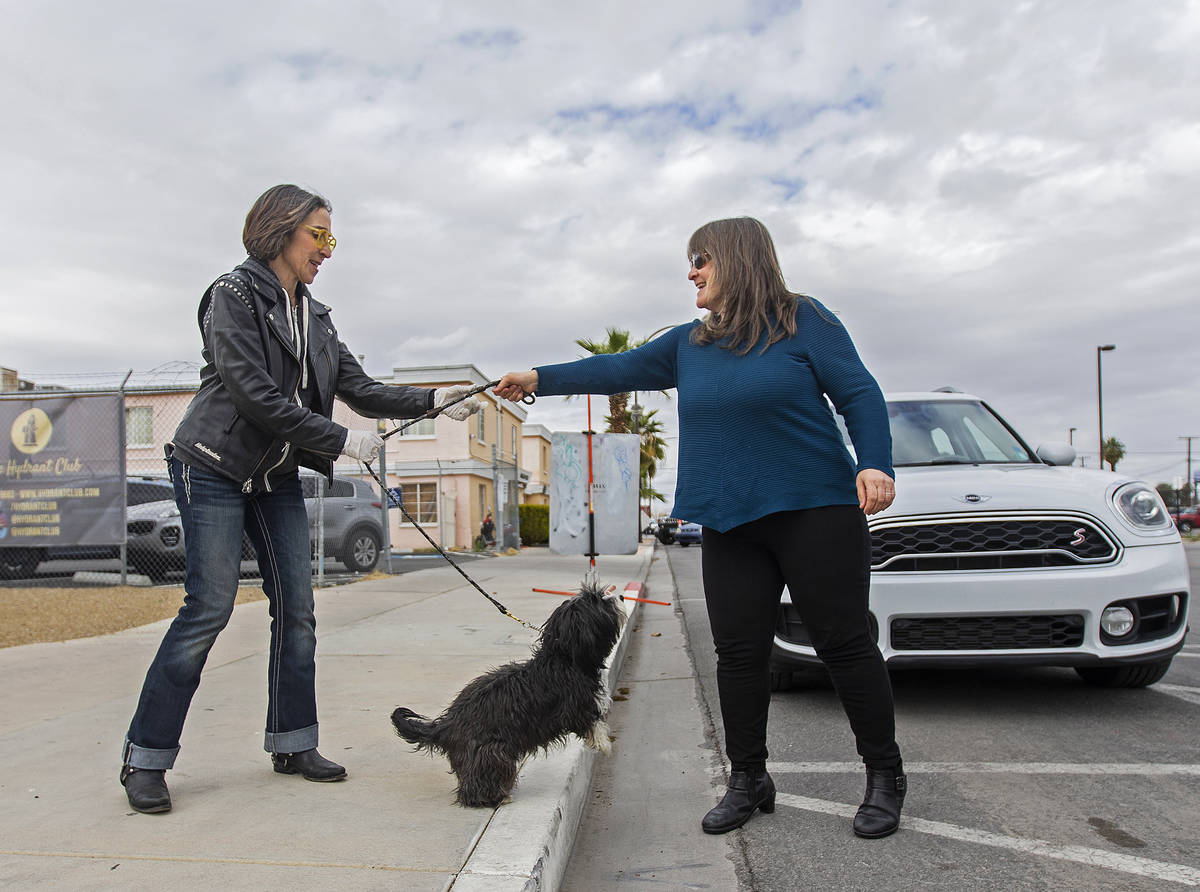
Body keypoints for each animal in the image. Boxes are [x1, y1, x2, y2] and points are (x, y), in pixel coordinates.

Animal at [391, 583, 624, 806]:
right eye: (598, 602)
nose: (621, 596)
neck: (564, 659)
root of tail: (447, 725)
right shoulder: (575, 706)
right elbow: (592, 722)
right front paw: (603, 743)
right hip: (491, 752)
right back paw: (492, 797)